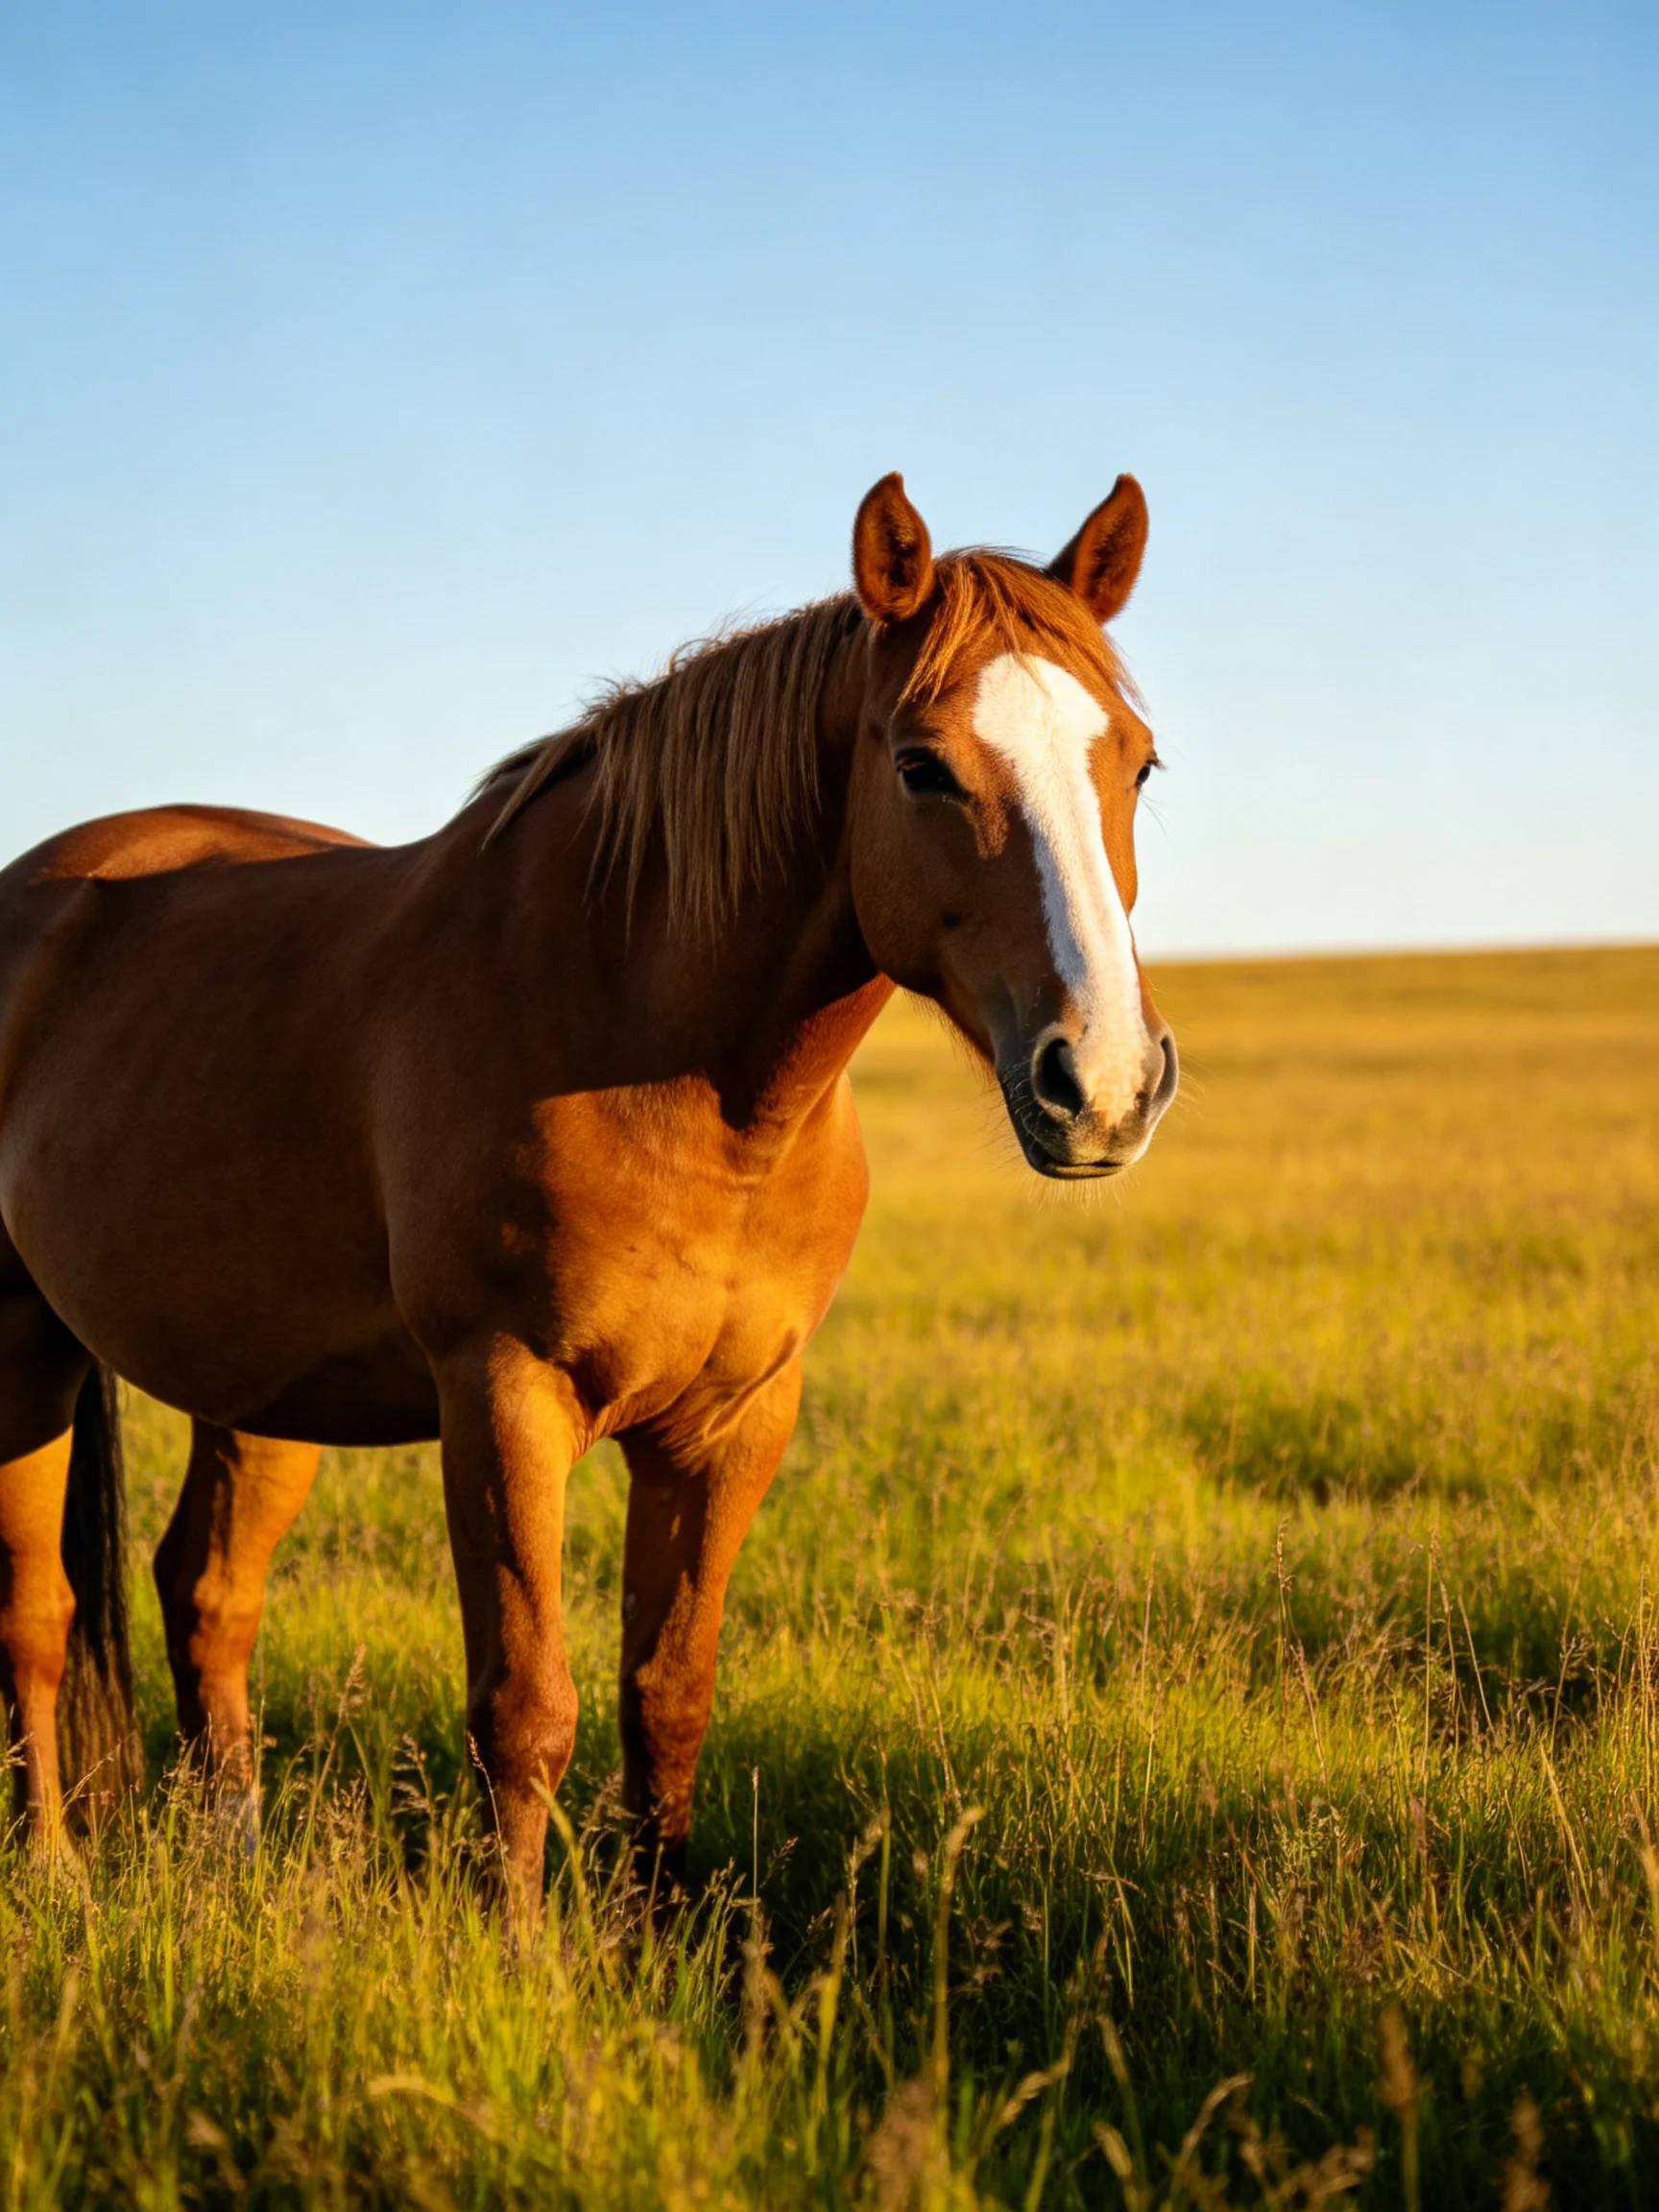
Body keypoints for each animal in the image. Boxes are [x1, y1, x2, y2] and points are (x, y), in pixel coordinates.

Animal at [0, 471, 1178, 1912]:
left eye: (1138, 761)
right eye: (921, 765)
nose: (1104, 1082)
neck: (687, 1084)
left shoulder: (732, 1424)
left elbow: (665, 1698)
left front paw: (658, 1935)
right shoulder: (505, 1397)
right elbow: (526, 1709)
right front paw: (521, 1949)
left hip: (261, 1384)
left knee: (206, 1592)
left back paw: (235, 1860)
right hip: (21, 1347)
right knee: (37, 1619)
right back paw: (54, 1872)